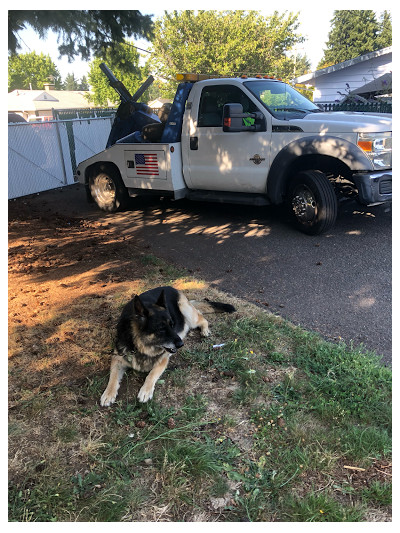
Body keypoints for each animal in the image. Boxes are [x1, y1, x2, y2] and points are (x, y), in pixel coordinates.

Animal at [99, 286, 234, 404]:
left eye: (172, 325)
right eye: (161, 329)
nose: (181, 344)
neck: (139, 346)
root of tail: (171, 287)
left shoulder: (162, 360)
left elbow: (151, 375)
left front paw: (145, 390)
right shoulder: (117, 358)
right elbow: (113, 377)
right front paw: (108, 394)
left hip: (186, 311)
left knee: (201, 317)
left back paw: (205, 330)